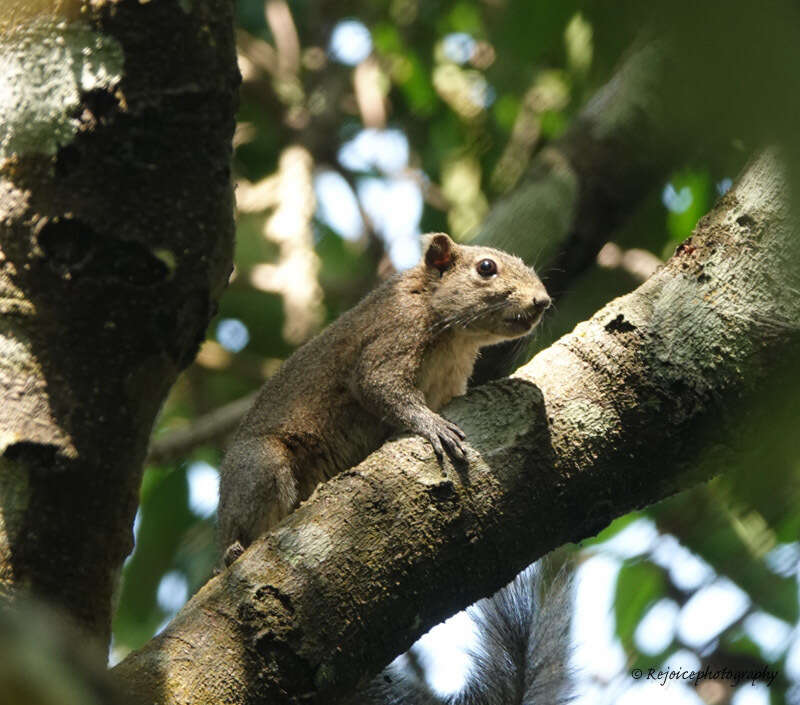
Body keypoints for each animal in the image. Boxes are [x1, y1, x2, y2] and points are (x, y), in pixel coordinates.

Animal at [216, 234, 552, 564]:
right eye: (486, 267)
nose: (543, 301)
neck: (455, 337)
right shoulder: (396, 330)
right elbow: (378, 385)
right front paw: (433, 425)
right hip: (261, 465)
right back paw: (236, 548)